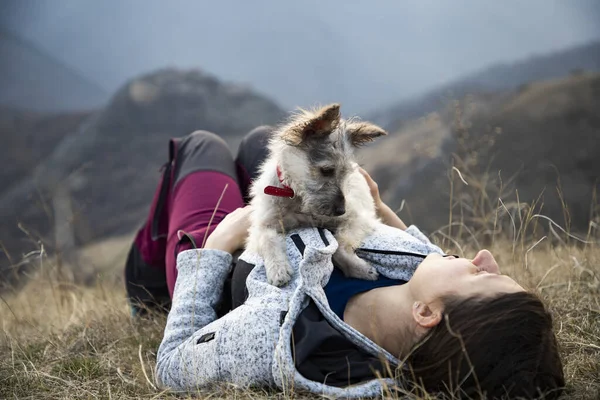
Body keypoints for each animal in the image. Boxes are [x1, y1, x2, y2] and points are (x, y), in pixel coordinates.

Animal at [246, 104, 386, 286]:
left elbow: (339, 247)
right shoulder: (262, 225)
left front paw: (359, 269)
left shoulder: (358, 219)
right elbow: (267, 240)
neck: (297, 199)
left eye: (346, 173)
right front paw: (278, 269)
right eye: (326, 170)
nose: (341, 210)